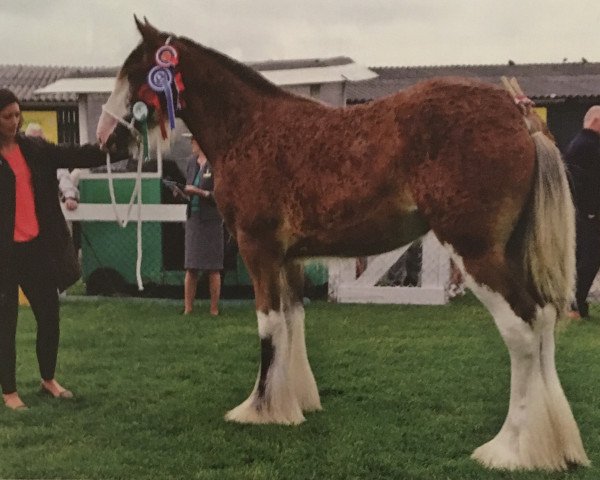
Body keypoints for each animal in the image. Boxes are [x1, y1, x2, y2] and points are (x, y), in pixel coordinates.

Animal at [97, 16, 592, 470]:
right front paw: (295, 402)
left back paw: (511, 449)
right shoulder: (288, 259)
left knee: (522, 329)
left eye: (135, 72)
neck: (250, 128)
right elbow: (293, 321)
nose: (106, 137)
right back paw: (559, 445)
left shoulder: (259, 251)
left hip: (476, 254)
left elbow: (268, 326)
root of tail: (519, 115)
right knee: (545, 320)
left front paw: (259, 409)